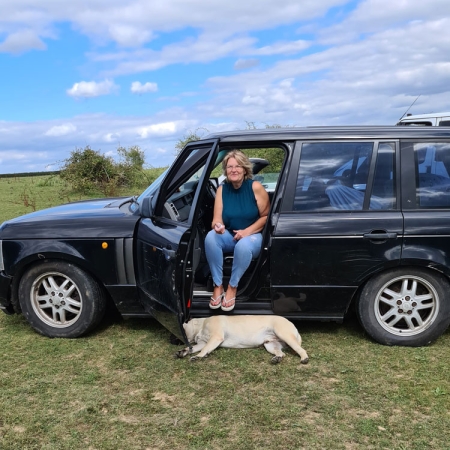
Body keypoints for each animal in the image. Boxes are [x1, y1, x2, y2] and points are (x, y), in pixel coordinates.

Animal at [176, 314, 310, 364]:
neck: (201, 324)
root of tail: (292, 324)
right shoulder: (203, 343)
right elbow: (195, 348)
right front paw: (183, 351)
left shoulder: (215, 337)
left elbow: (204, 350)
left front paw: (198, 356)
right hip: (271, 344)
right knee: (281, 353)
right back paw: (277, 358)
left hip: (284, 334)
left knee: (301, 349)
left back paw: (304, 358)